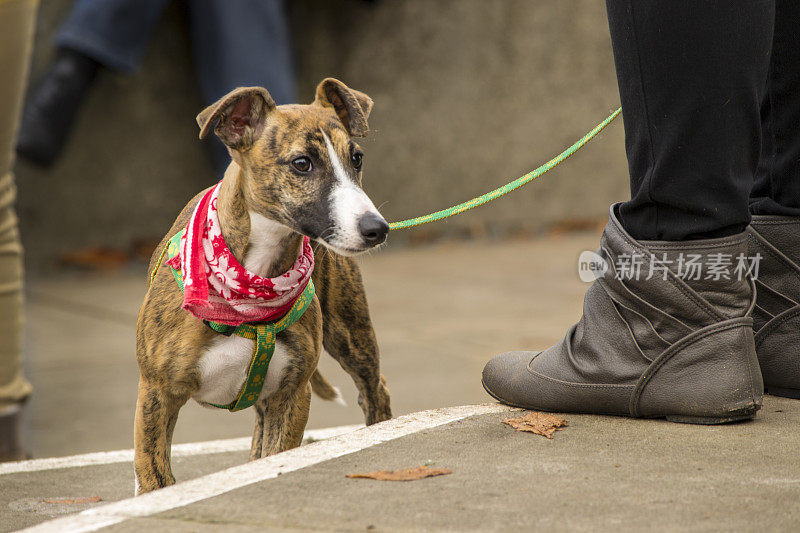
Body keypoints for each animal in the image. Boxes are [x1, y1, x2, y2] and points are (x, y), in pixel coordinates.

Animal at [137, 78, 394, 494]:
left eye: (356, 158)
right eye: (302, 163)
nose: (377, 229)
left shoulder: (291, 395)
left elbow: (278, 453)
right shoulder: (156, 394)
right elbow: (155, 476)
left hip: (351, 334)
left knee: (374, 388)